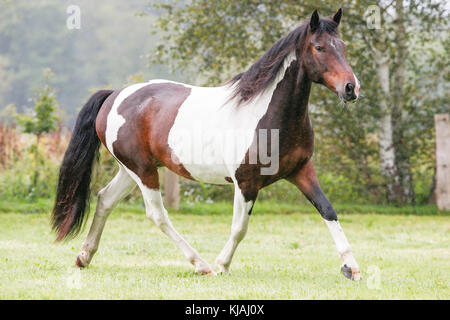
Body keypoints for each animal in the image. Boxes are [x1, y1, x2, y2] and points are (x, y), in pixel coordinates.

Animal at [52, 8, 362, 280]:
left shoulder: (301, 171)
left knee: (105, 199)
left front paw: (351, 268)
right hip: (143, 171)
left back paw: (84, 257)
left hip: (132, 170)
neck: (270, 116)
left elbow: (328, 210)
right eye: (319, 47)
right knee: (157, 214)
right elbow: (240, 227)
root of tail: (115, 94)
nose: (351, 88)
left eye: (343, 46)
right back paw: (201, 265)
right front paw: (223, 265)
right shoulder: (246, 183)